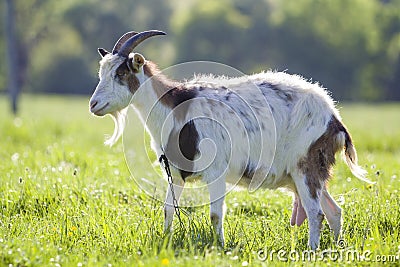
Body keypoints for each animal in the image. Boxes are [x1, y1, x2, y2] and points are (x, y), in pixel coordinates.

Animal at [89, 30, 370, 250]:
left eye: (121, 73)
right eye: (102, 72)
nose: (94, 104)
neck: (175, 109)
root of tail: (334, 119)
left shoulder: (216, 171)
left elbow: (215, 214)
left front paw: (220, 248)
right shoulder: (176, 173)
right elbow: (168, 209)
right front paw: (167, 241)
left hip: (306, 165)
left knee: (316, 212)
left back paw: (312, 250)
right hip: (302, 175)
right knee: (334, 211)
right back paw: (336, 248)